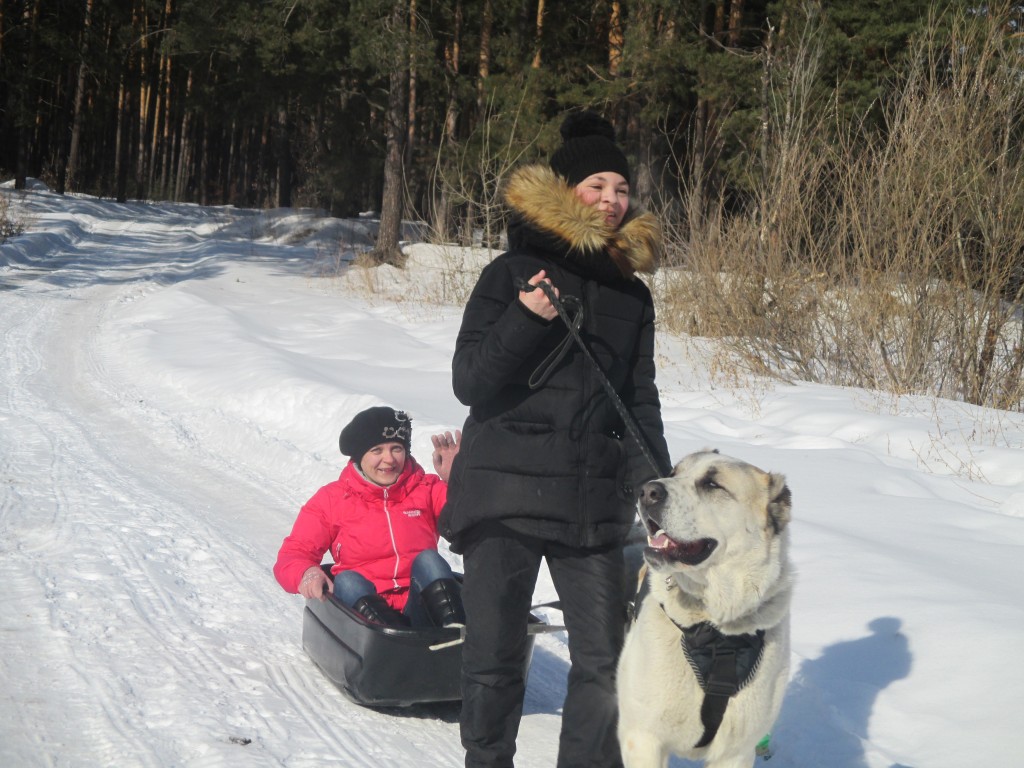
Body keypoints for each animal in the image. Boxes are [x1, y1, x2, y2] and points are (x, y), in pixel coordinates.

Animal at [617, 450, 793, 768]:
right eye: (673, 473)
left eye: (712, 484)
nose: (647, 491)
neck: (715, 629)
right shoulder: (643, 738)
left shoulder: (736, 753)